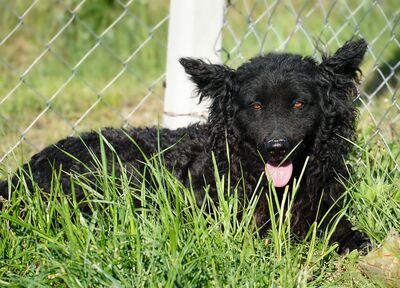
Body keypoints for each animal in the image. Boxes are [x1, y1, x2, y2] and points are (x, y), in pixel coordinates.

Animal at [0, 38, 368, 252]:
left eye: (298, 104)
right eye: (256, 106)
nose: (276, 147)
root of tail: (21, 174)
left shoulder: (321, 203)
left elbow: (337, 225)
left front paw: (352, 239)